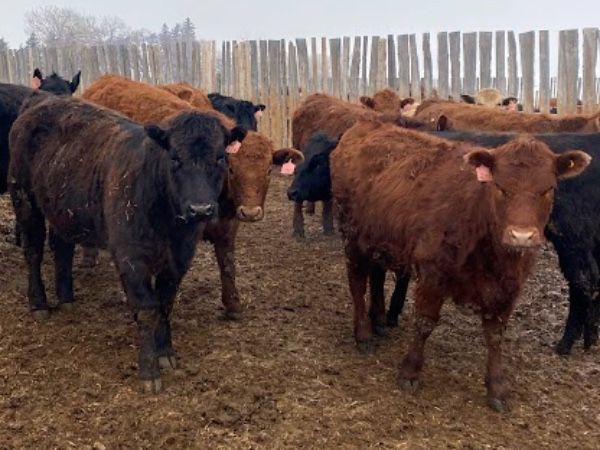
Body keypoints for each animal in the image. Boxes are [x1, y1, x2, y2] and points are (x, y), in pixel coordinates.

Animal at [9, 93, 246, 392]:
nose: (200, 209)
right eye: (175, 158)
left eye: (220, 157)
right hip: (24, 199)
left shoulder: (179, 258)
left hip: (63, 209)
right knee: (33, 251)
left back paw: (66, 299)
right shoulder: (130, 258)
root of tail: (41, 100)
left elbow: (165, 304)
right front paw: (149, 370)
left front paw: (165, 352)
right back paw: (39, 303)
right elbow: (147, 309)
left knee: (62, 249)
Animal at [83, 74, 301, 319]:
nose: (250, 212)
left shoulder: (228, 226)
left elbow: (228, 264)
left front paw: (233, 305)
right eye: (232, 169)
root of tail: (104, 81)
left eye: (268, 170)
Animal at [330, 118, 590, 411]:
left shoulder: (508, 287)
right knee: (357, 283)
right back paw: (363, 333)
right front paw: (410, 371)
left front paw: (497, 386)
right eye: (500, 187)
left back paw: (379, 322)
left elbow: (495, 335)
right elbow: (424, 324)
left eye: (548, 189)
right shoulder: (433, 274)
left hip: (379, 239)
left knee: (375, 276)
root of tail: (368, 124)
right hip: (352, 236)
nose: (521, 236)